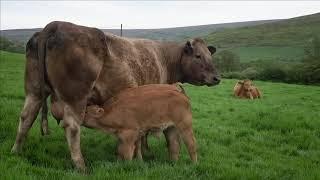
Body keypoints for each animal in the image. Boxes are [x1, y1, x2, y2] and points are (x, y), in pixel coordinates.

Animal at [10, 21, 220, 170]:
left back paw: (16, 151)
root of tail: (55, 24)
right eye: (198, 56)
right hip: (75, 98)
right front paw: (144, 153)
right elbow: (143, 135)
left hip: (34, 91)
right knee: (72, 127)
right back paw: (81, 166)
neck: (164, 57)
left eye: (210, 56)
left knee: (26, 117)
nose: (217, 77)